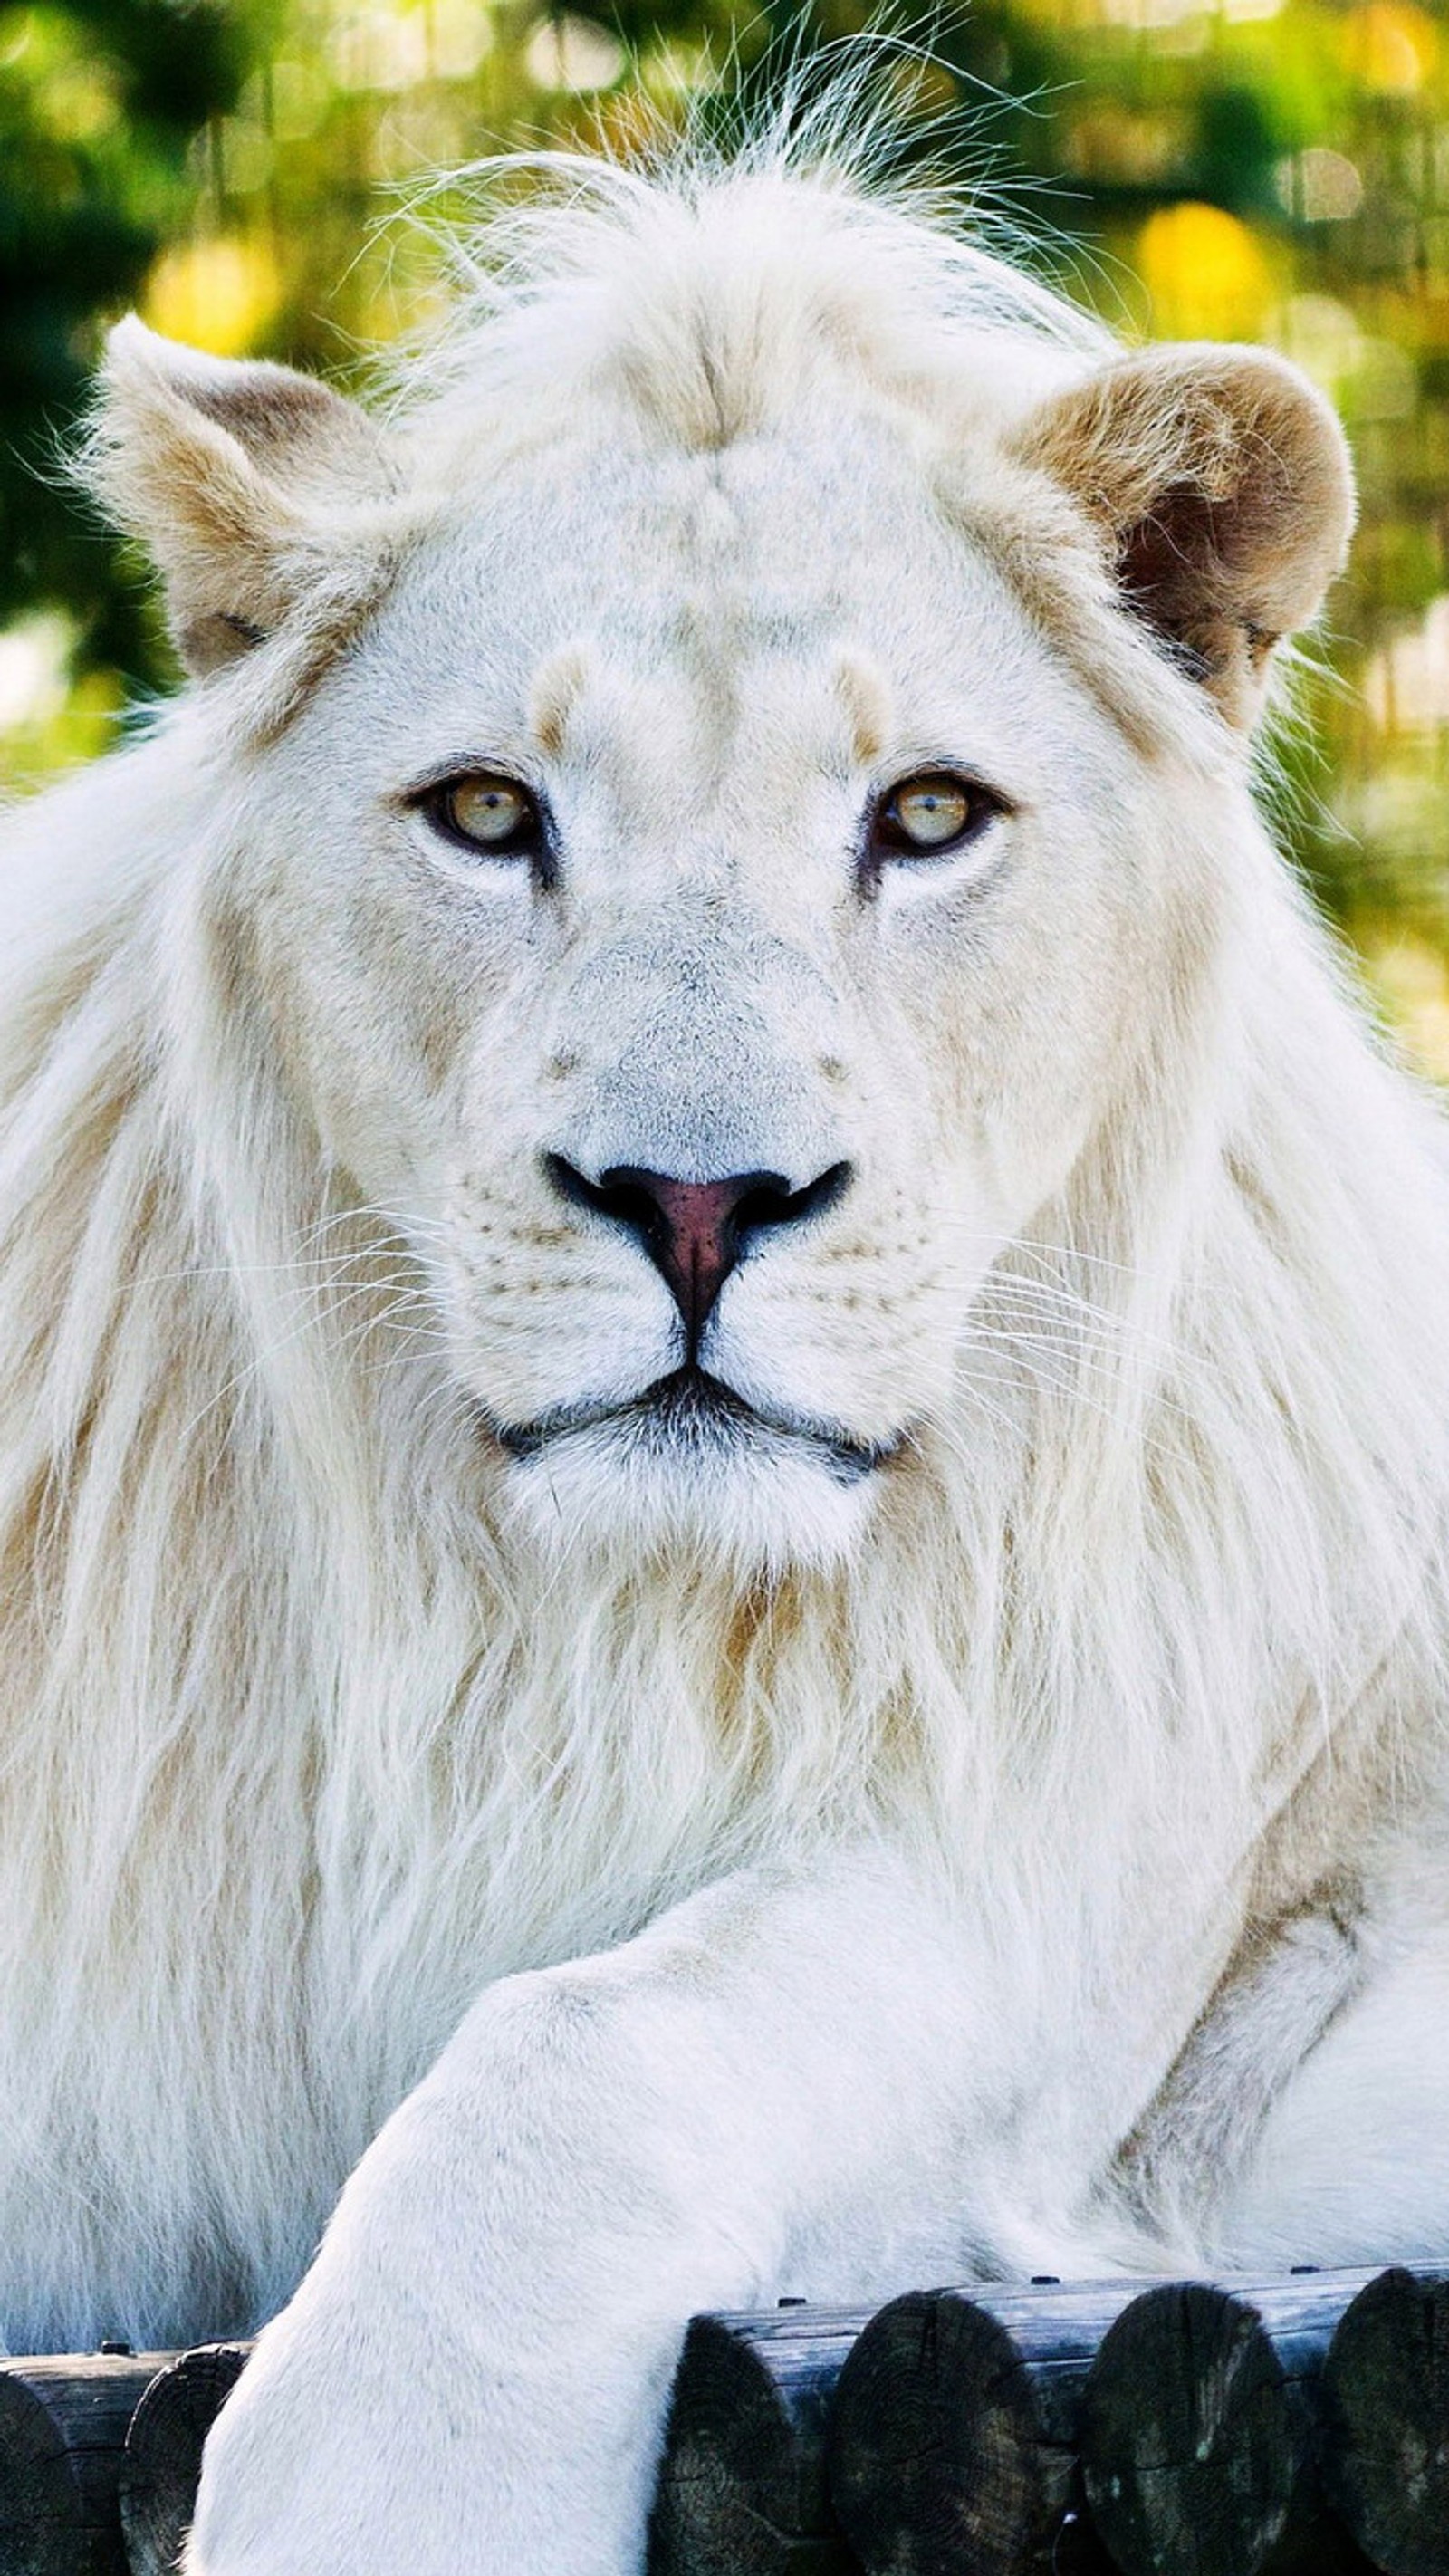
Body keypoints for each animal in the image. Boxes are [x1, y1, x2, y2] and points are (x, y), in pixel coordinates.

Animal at [3, 115, 1449, 2576]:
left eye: (926, 815)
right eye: (488, 813)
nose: (695, 1204)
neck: (568, 1631)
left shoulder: (1060, 1878)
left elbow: (597, 2042)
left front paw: (387, 2490)